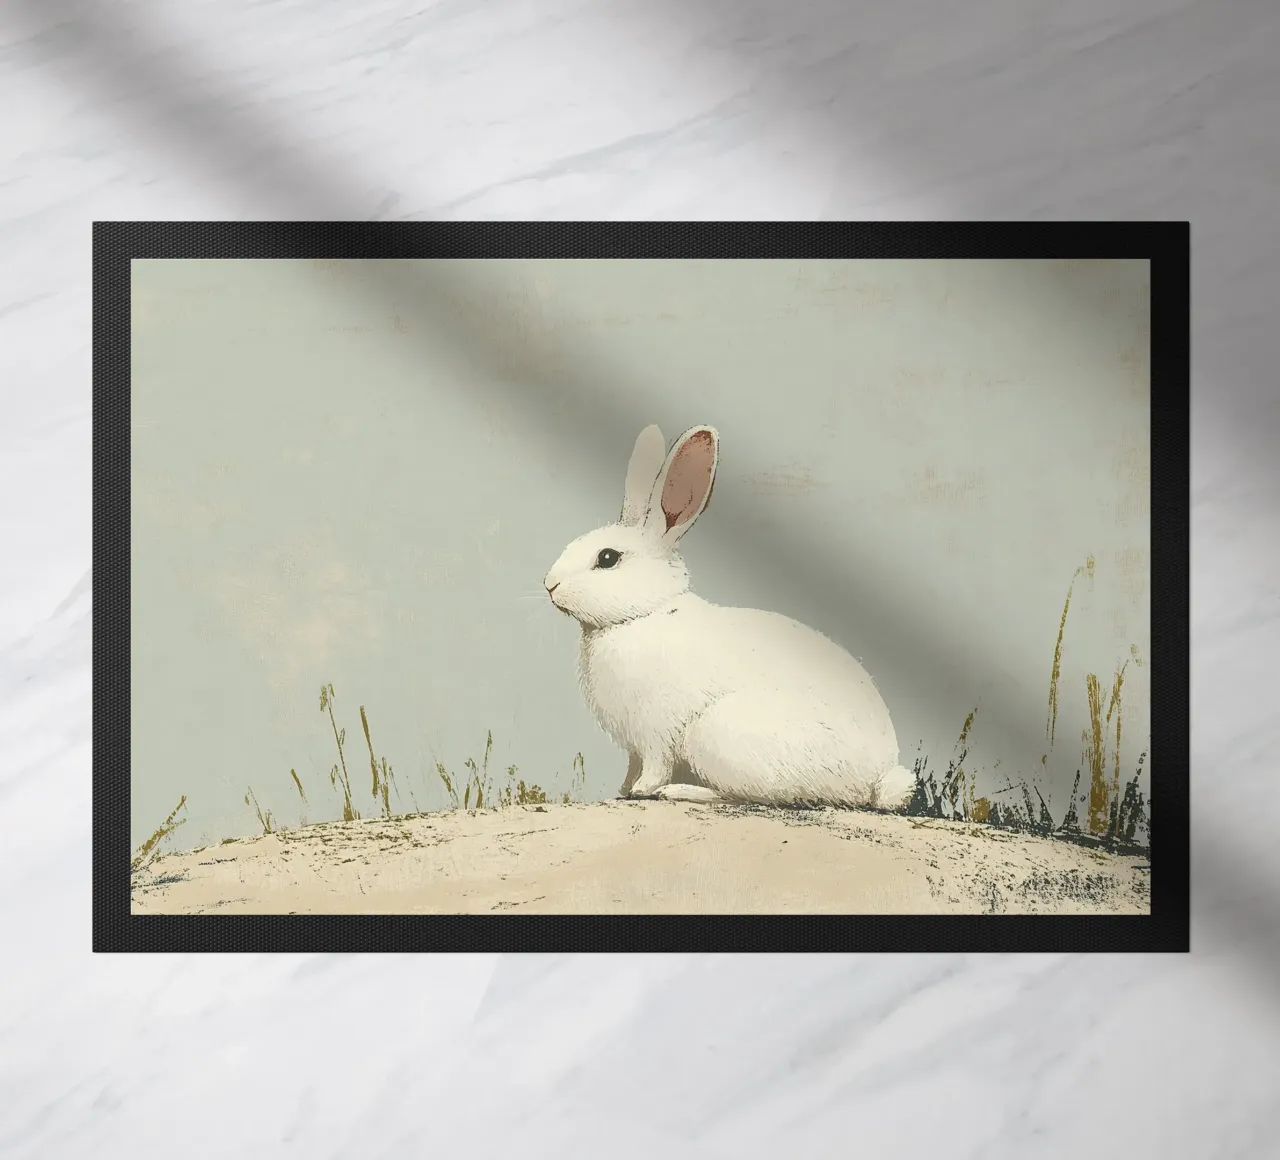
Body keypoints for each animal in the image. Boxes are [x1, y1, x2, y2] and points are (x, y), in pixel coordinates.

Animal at [542, 424, 917, 811]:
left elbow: (655, 765)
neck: (643, 614)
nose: (549, 584)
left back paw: (680, 791)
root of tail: (876, 780)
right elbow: (633, 766)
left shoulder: (656, 732)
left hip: (715, 736)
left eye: (607, 558)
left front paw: (641, 790)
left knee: (752, 797)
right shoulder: (635, 745)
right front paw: (623, 789)